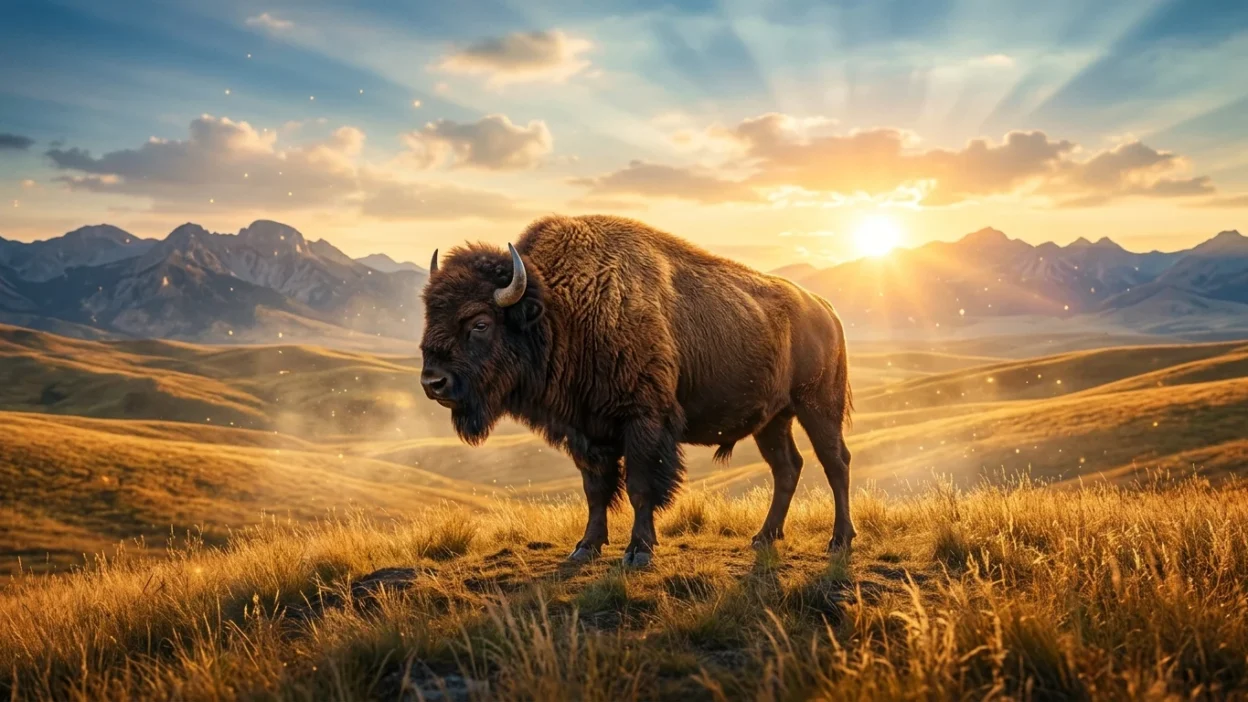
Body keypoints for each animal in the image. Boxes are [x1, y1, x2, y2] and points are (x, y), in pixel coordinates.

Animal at [420, 215, 854, 566]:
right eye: (429, 315)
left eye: (479, 323)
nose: (432, 382)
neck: (562, 309)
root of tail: (826, 310)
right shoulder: (586, 431)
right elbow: (595, 490)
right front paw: (585, 548)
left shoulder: (644, 421)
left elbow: (640, 487)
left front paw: (638, 552)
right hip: (773, 420)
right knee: (787, 467)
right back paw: (764, 537)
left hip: (818, 407)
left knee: (836, 463)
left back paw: (839, 541)